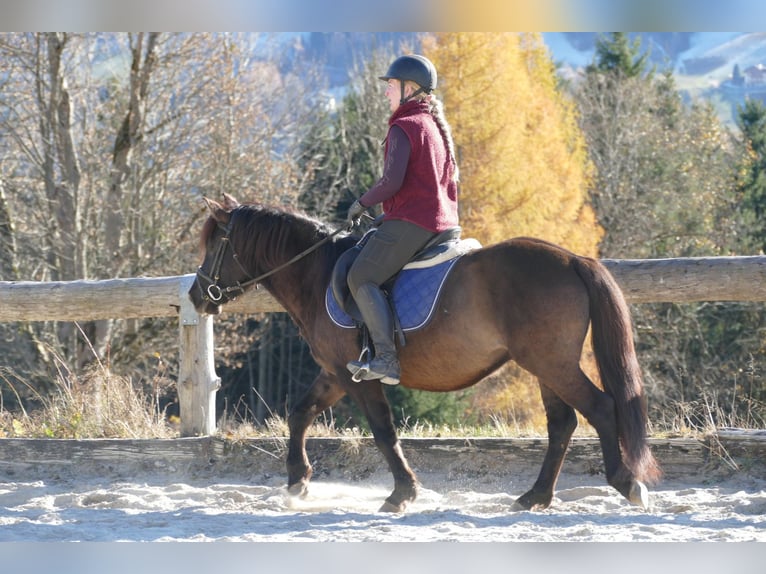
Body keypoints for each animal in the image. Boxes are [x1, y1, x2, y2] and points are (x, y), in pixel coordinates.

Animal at [190, 196, 660, 516]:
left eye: (214, 246)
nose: (197, 295)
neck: (317, 273)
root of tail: (572, 259)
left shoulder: (357, 375)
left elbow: (383, 431)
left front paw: (401, 493)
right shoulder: (336, 374)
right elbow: (300, 412)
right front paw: (296, 482)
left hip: (552, 363)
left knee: (600, 408)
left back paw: (625, 483)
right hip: (546, 366)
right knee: (562, 423)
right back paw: (535, 496)